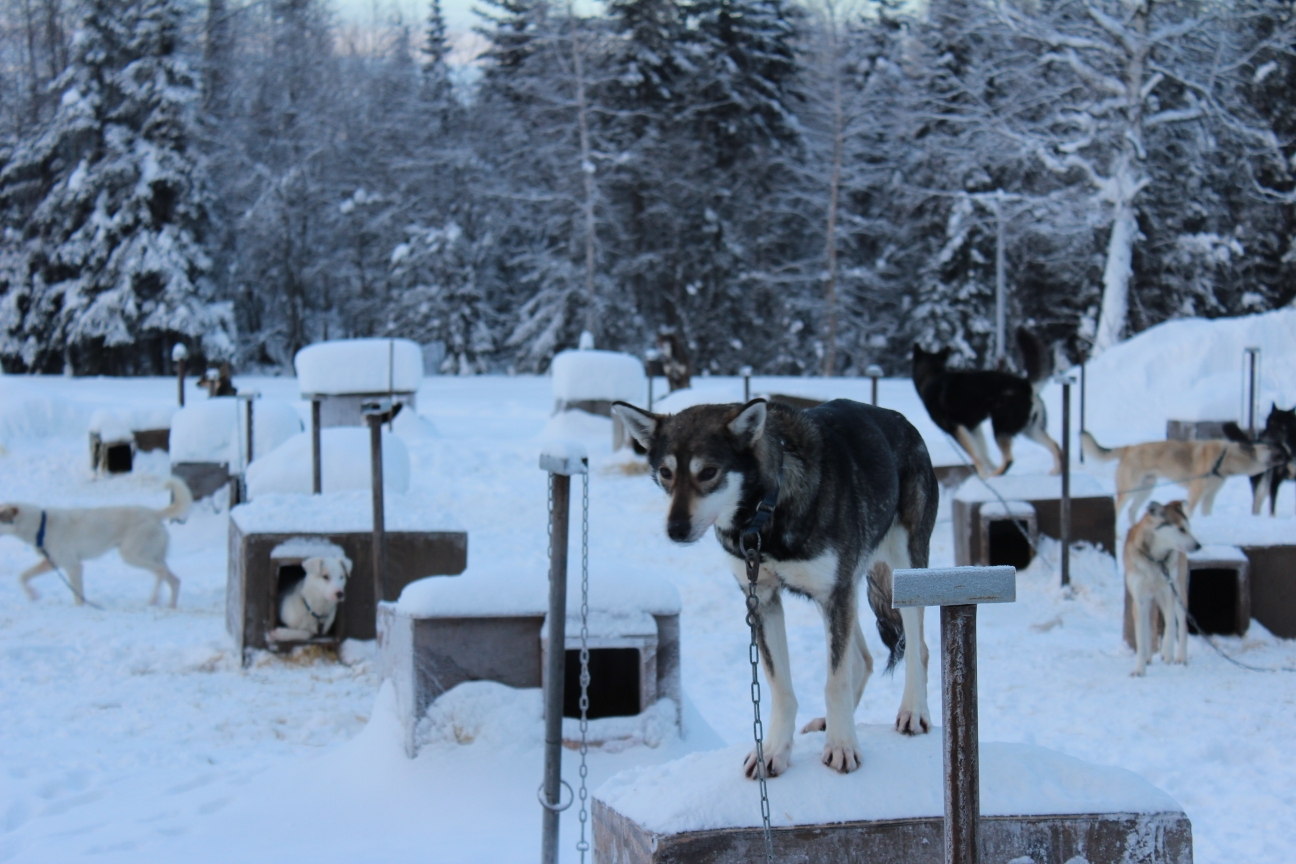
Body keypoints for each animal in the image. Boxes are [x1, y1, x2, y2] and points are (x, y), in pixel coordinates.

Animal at [0, 479, 191, 608]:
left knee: (160, 572)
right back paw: (170, 606)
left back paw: (153, 600)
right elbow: (23, 576)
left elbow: (78, 596)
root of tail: (154, 513)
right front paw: (33, 595)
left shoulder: (74, 566)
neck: (42, 524)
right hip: (153, 556)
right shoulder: (51, 562)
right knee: (174, 580)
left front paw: (80, 608)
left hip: (131, 555)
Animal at [611, 396, 938, 777]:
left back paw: (913, 712)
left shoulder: (834, 594)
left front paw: (842, 746)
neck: (765, 513)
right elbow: (781, 687)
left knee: (917, 648)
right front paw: (773, 751)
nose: (675, 529)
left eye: (707, 472)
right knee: (864, 658)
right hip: (840, 594)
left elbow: (835, 682)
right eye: (666, 473)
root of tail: (902, 420)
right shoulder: (763, 599)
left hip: (902, 571)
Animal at [912, 326, 1062, 476]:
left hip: (1001, 427)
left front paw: (983, 475)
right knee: (1055, 445)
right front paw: (987, 468)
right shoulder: (973, 428)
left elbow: (975, 456)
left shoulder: (955, 428)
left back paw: (994, 475)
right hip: (1030, 429)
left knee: (1009, 459)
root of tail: (1026, 385)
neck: (932, 375)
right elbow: (982, 453)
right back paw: (1056, 471)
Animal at [1078, 430, 1280, 518]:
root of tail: (1129, 448)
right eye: (1271, 448)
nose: (1285, 453)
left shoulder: (1209, 497)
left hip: (1146, 490)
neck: (1224, 458)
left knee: (1132, 510)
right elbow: (1189, 513)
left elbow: (1206, 514)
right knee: (1119, 509)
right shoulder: (1196, 492)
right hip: (1130, 490)